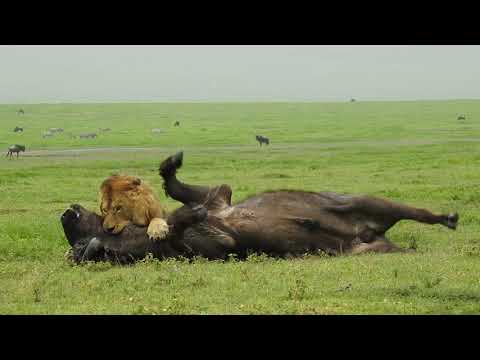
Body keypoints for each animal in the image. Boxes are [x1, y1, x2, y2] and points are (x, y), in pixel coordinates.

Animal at [62, 152, 460, 264]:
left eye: (106, 208)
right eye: (77, 247)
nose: (67, 211)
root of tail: (368, 233)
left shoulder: (219, 195)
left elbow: (182, 189)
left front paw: (171, 165)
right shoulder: (220, 245)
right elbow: (181, 223)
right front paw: (182, 218)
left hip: (366, 201)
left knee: (417, 213)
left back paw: (449, 217)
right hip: (371, 249)